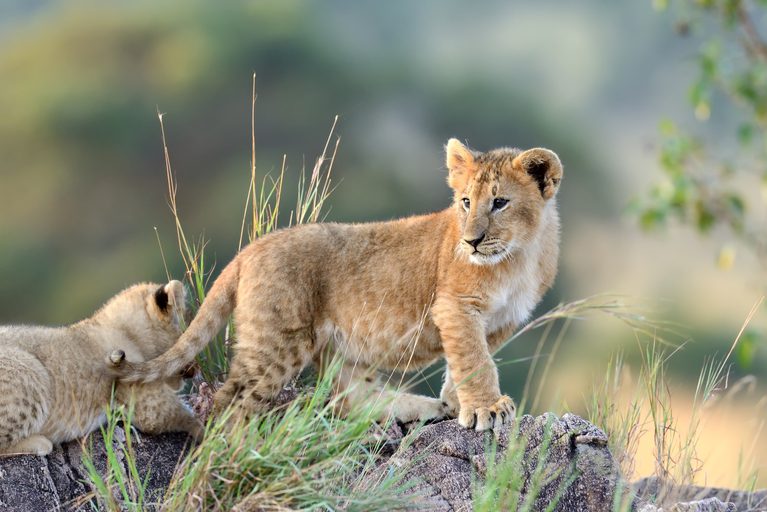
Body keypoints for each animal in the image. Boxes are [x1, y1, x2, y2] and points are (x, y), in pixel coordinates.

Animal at [109, 138, 562, 431]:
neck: (518, 256)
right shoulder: (455, 306)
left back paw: (425, 408)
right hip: (278, 342)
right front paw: (486, 409)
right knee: (230, 400)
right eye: (465, 202)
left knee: (351, 399)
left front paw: (456, 403)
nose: (471, 241)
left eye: (500, 202)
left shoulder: (502, 321)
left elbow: (467, 361)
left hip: (341, 348)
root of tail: (250, 250)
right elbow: (474, 360)